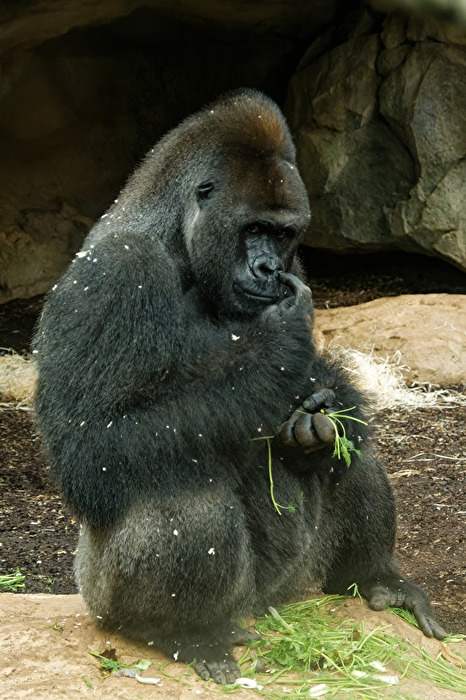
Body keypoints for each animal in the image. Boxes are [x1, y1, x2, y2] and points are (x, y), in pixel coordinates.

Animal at [33, 89, 446, 684]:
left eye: (283, 233)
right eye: (253, 229)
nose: (270, 269)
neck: (179, 244)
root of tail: (258, 610)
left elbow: (331, 405)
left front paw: (320, 416)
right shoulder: (111, 275)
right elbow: (91, 448)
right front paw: (274, 351)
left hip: (292, 583)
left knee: (354, 456)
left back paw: (376, 577)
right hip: (104, 597)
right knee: (179, 488)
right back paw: (177, 632)